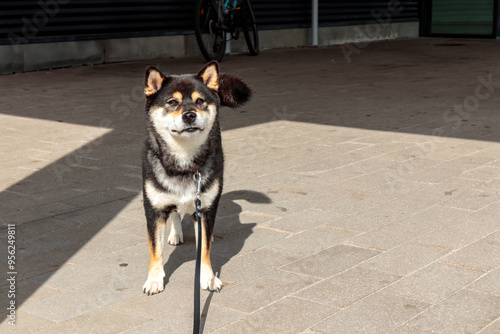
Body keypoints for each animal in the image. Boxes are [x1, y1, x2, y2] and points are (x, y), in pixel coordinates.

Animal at [141, 60, 250, 294]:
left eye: (200, 101)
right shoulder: (154, 210)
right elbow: (155, 250)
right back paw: (175, 234)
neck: (185, 162)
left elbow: (205, 249)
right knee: (175, 212)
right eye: (172, 102)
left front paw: (207, 277)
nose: (189, 115)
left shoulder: (206, 209)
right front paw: (154, 279)